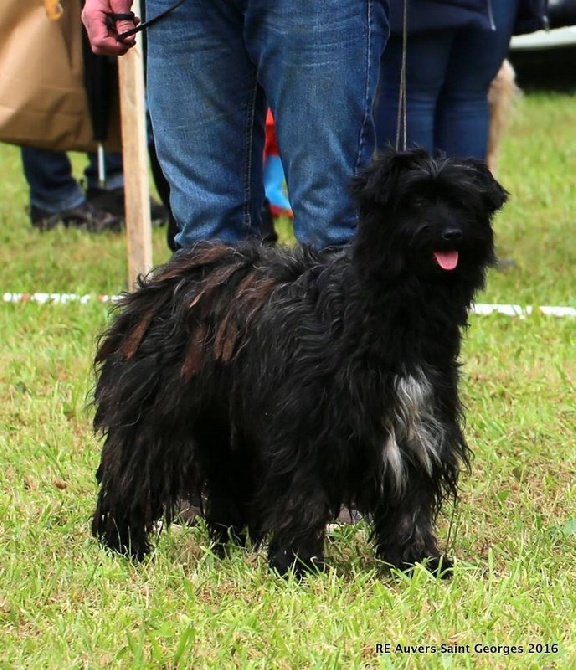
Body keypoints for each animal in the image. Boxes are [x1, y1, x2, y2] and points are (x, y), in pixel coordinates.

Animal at [91, 150, 508, 580]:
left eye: (462, 202)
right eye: (416, 200)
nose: (452, 234)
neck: (380, 313)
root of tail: (172, 283)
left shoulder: (419, 419)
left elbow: (411, 501)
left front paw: (418, 560)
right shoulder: (308, 425)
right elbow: (303, 496)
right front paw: (297, 564)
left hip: (225, 427)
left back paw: (229, 544)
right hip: (158, 417)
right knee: (133, 473)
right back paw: (121, 543)